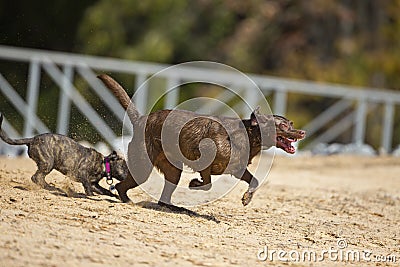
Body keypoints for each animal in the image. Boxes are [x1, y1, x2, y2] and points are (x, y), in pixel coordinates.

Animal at [0, 114, 128, 198]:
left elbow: (104, 191)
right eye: (125, 167)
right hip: (48, 163)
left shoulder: (94, 184)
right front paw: (90, 195)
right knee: (36, 177)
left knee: (38, 178)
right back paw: (51, 187)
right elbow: (87, 186)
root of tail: (32, 139)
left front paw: (114, 196)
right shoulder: (83, 174)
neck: (104, 164)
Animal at [97, 74, 306, 209]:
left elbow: (254, 181)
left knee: (162, 198)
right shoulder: (204, 159)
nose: (302, 132)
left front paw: (247, 198)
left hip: (173, 172)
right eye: (284, 126)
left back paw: (173, 208)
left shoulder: (238, 170)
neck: (248, 135)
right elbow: (207, 183)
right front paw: (194, 183)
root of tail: (141, 119)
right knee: (121, 186)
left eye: (292, 123)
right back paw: (127, 201)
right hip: (143, 167)